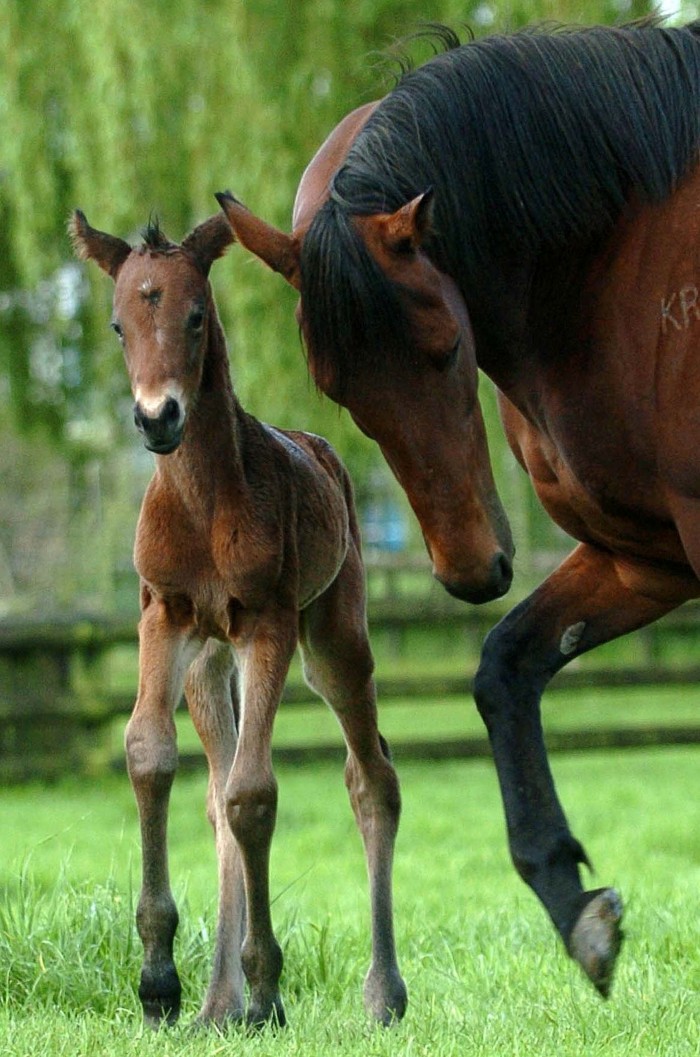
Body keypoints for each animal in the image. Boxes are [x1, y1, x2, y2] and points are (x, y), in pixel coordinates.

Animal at [68, 210, 408, 1027]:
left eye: (196, 315)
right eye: (118, 323)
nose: (157, 418)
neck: (201, 502)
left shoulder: (267, 624)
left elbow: (256, 793)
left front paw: (267, 990)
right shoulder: (164, 616)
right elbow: (151, 755)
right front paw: (160, 983)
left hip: (332, 639)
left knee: (370, 777)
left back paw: (380, 993)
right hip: (208, 666)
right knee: (216, 793)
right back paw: (217, 1004)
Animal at [219, 22, 700, 997]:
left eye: (446, 349)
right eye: (341, 390)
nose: (472, 569)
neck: (626, 270)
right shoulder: (644, 555)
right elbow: (504, 666)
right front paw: (575, 903)